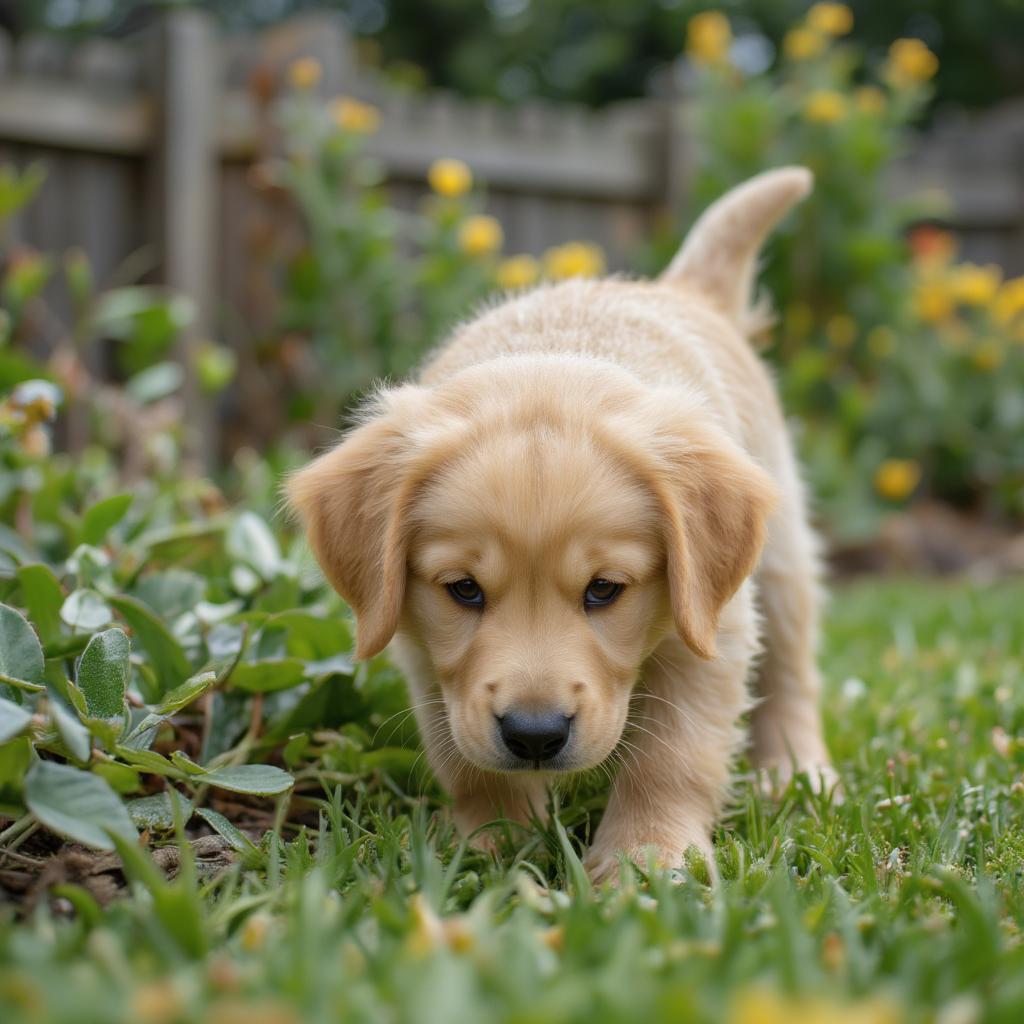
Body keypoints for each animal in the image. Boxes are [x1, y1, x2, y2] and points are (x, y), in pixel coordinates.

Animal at [288, 167, 831, 880]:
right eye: (464, 589)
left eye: (604, 589)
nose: (535, 735)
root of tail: (675, 289)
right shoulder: (424, 652)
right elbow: (466, 761)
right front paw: (492, 846)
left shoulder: (712, 627)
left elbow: (672, 755)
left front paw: (646, 858)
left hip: (783, 558)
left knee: (792, 668)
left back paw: (797, 772)